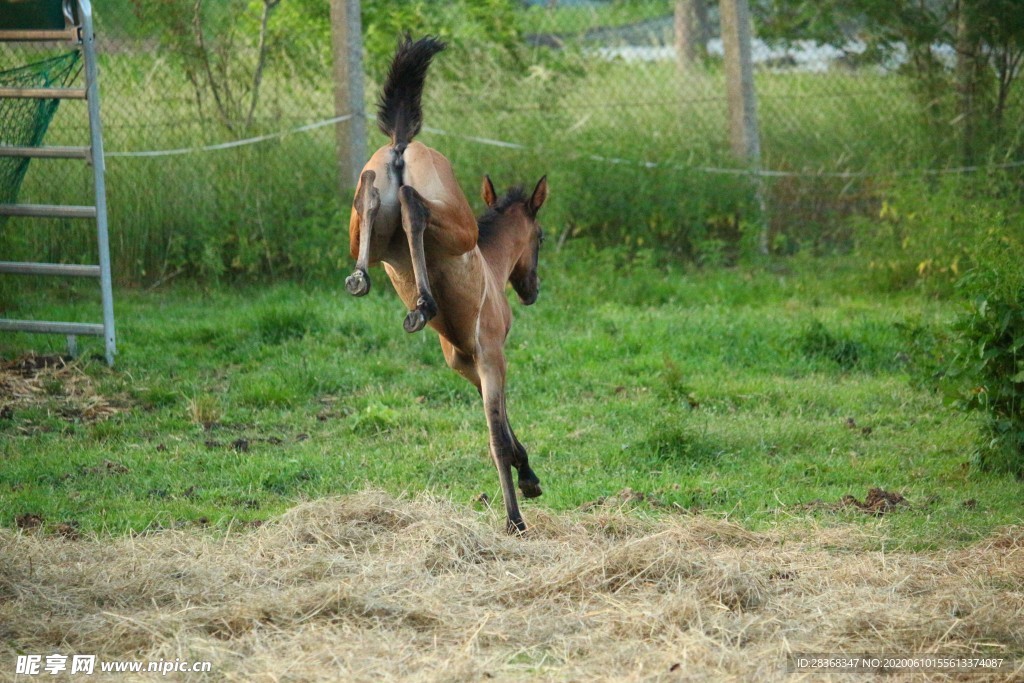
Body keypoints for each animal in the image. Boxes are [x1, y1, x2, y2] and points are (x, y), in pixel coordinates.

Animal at [344, 35, 549, 534]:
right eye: (541, 237)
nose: (531, 290)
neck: (491, 266)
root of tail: (401, 145)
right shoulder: (489, 356)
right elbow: (499, 435)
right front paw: (521, 499)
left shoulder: (465, 363)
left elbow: (499, 428)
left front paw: (526, 479)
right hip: (457, 222)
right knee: (414, 206)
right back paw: (423, 302)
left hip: (364, 229)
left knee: (370, 194)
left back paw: (369, 281)